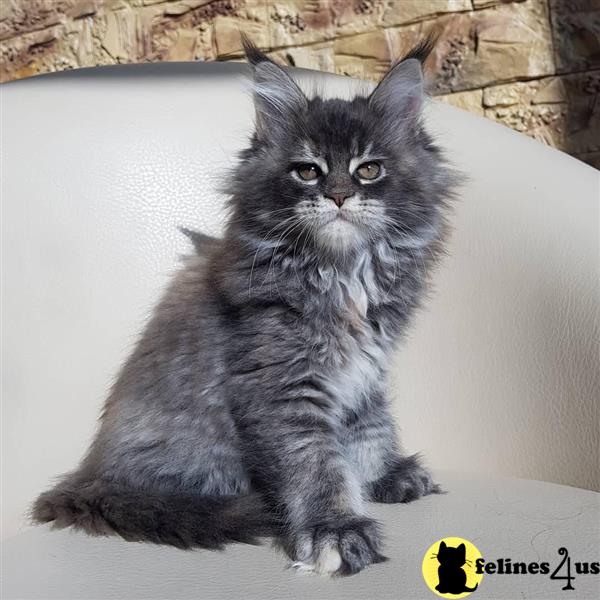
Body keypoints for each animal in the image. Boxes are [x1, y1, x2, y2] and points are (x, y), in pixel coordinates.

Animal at [32, 37, 460, 576]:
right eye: (307, 171)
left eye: (368, 169)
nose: (339, 196)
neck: (342, 273)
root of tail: (91, 476)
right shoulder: (280, 385)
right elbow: (317, 463)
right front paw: (337, 530)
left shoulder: (366, 370)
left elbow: (369, 428)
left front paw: (382, 475)